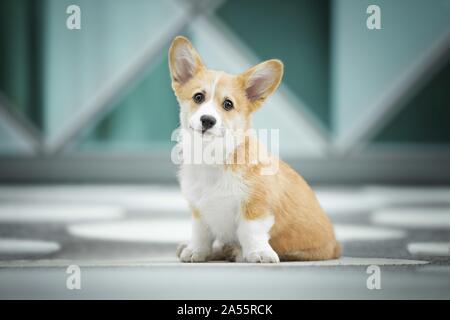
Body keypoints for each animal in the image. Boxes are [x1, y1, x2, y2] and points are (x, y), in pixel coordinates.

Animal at [171, 36, 340, 264]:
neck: (214, 157)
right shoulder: (199, 209)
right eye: (198, 97)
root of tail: (337, 246)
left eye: (228, 104)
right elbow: (201, 233)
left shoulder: (256, 207)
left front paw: (259, 253)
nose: (207, 120)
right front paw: (196, 250)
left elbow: (250, 232)